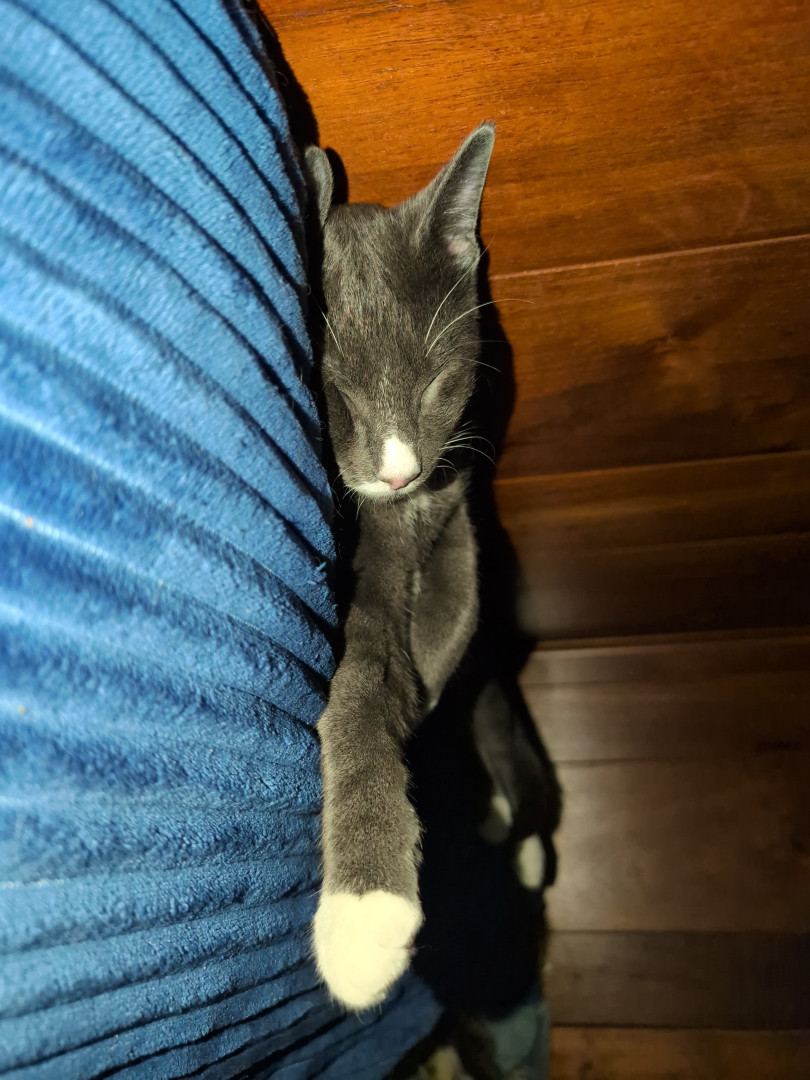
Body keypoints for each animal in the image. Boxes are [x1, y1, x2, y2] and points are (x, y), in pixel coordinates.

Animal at [304, 125, 559, 1012]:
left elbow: (458, 596)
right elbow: (360, 676)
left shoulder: (454, 508)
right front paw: (364, 916)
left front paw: (423, 690)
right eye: (335, 397)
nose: (397, 470)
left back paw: (523, 844)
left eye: (440, 383)